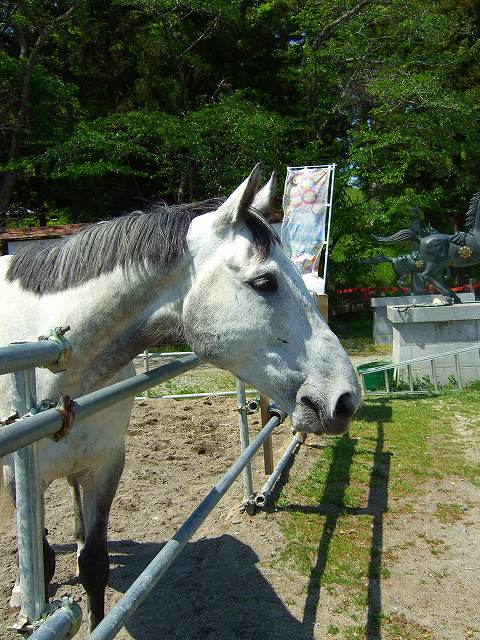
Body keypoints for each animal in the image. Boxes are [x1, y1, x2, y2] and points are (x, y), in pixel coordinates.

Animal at [0, 165, 360, 632]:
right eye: (265, 282)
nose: (346, 398)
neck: (57, 360)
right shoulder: (20, 477)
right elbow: (41, 561)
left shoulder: (104, 465)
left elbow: (93, 565)